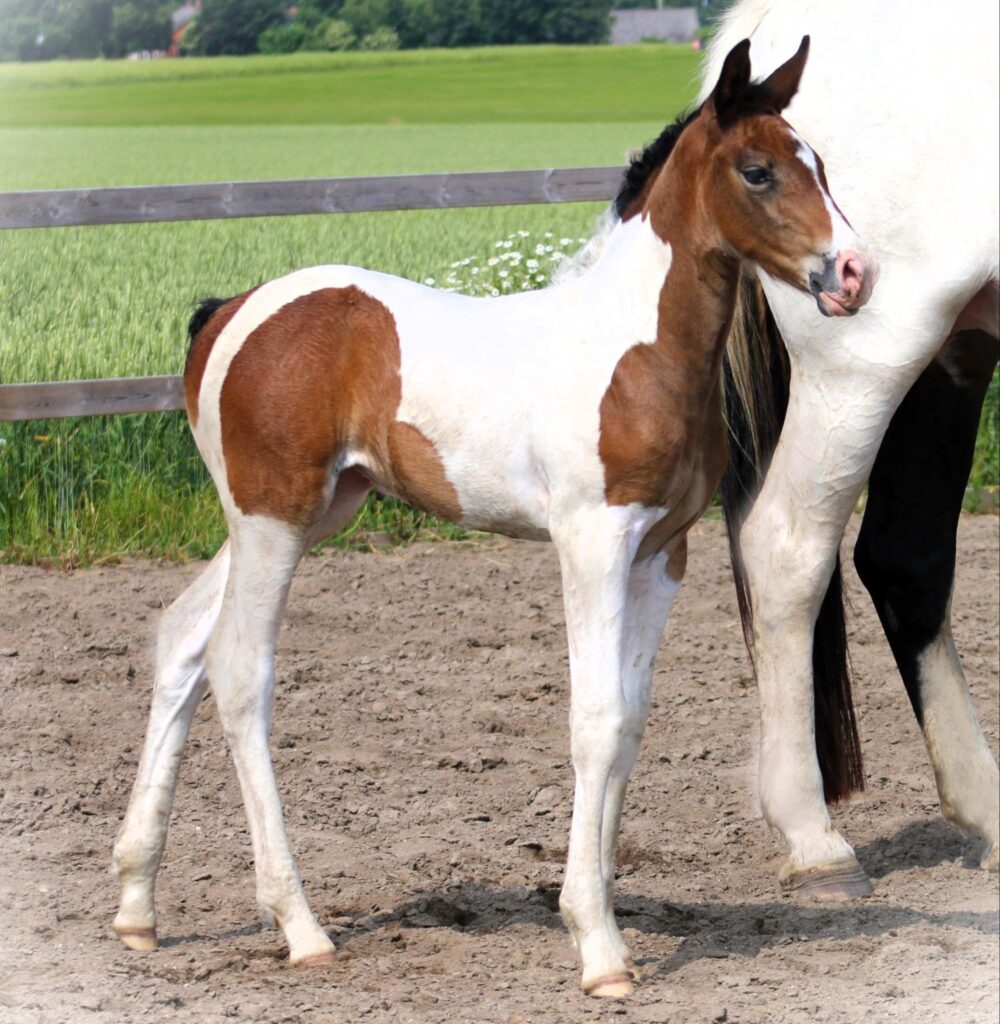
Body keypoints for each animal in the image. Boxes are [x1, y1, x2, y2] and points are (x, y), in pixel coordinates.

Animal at [111, 41, 876, 999]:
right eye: (759, 170)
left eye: (824, 166)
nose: (854, 275)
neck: (631, 346)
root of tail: (226, 315)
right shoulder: (592, 540)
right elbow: (594, 718)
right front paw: (598, 948)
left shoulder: (661, 552)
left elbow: (630, 720)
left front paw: (603, 903)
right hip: (272, 521)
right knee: (239, 669)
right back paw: (299, 926)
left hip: (313, 511)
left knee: (181, 636)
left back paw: (136, 906)